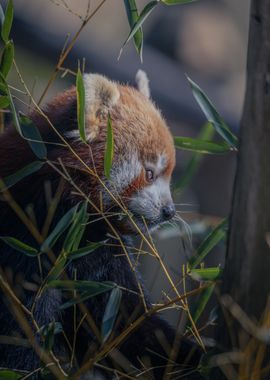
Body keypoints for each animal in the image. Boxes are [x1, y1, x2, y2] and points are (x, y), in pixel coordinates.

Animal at [0, 72, 202, 380]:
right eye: (149, 173)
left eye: (167, 174)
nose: (169, 212)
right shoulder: (24, 244)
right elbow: (21, 337)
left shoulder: (104, 261)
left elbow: (125, 327)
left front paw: (194, 357)